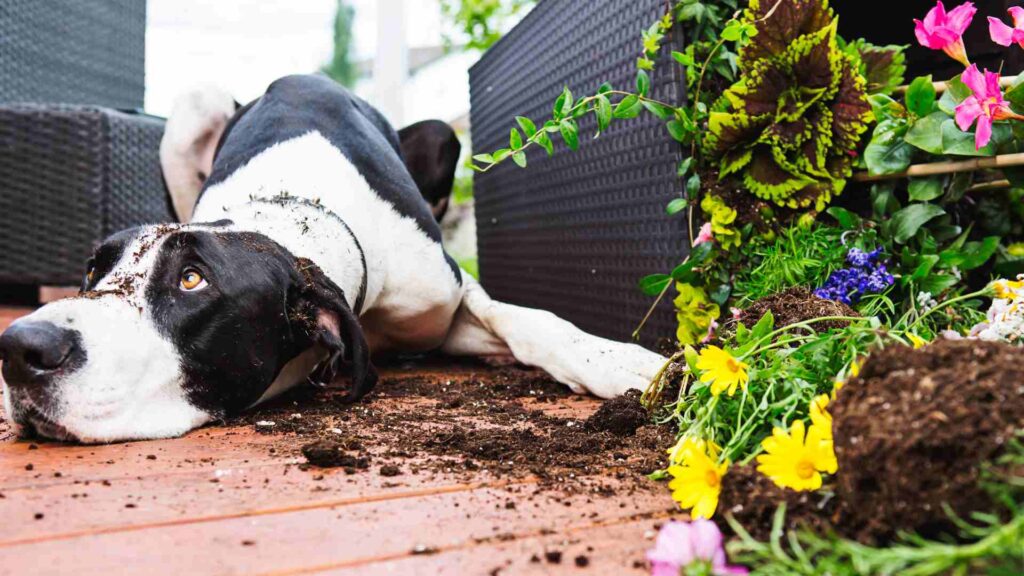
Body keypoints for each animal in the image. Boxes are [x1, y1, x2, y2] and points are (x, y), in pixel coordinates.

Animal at [0, 76, 663, 440]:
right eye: (95, 270)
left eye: (192, 280)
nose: (19, 347)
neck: (294, 211)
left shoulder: (443, 300)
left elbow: (529, 321)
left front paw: (621, 362)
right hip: (194, 105)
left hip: (441, 136)